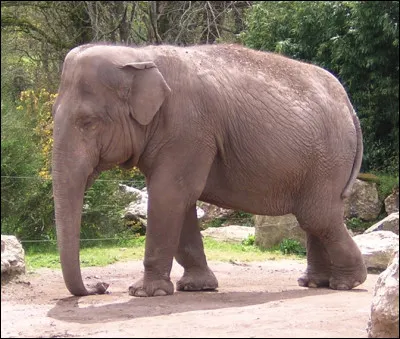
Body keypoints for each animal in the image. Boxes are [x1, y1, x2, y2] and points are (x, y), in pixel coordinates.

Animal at [51, 42, 368, 298]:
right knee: (315, 218)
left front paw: (144, 292)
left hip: (329, 158)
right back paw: (314, 283)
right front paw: (196, 287)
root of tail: (348, 103)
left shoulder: (188, 128)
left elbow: (169, 194)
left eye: (88, 122)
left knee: (317, 217)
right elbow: (180, 200)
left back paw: (347, 283)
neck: (139, 55)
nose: (100, 286)